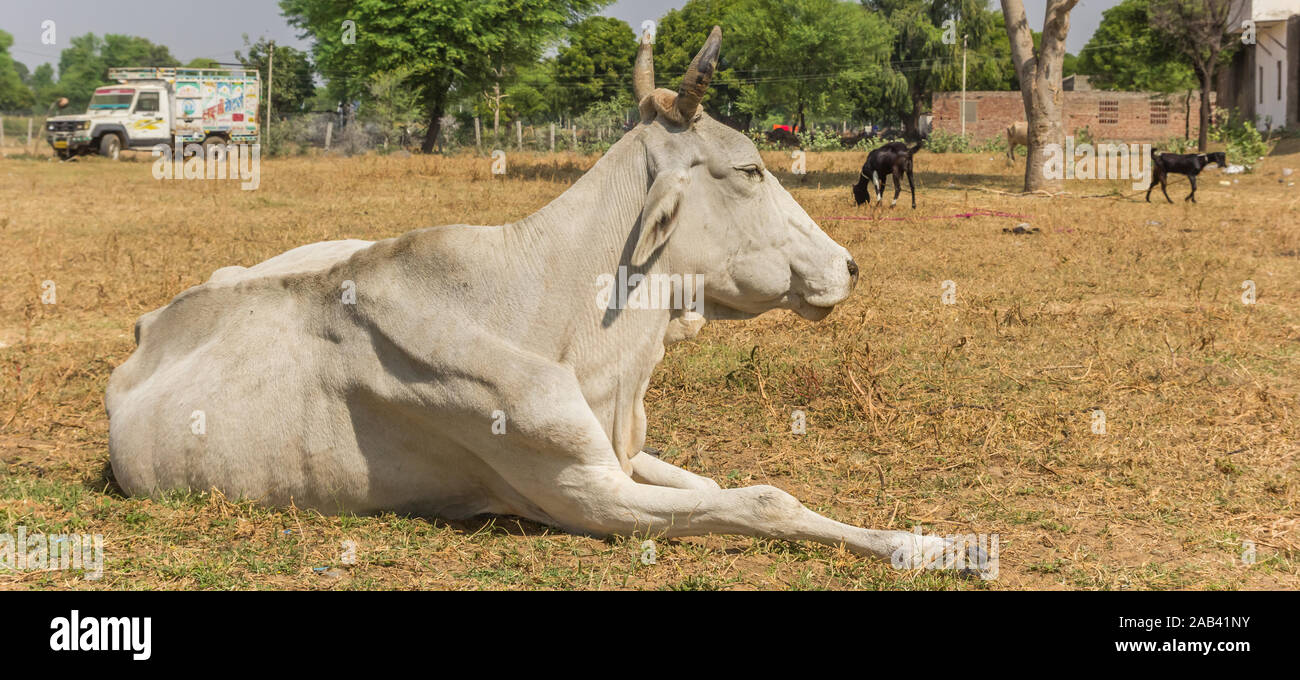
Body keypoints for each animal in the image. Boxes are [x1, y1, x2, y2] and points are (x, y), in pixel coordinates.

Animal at [109, 26, 982, 572]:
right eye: (750, 169)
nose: (849, 265)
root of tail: (148, 327)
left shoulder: (620, 454)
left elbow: (720, 487)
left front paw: (933, 542)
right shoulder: (586, 496)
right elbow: (763, 500)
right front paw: (928, 551)